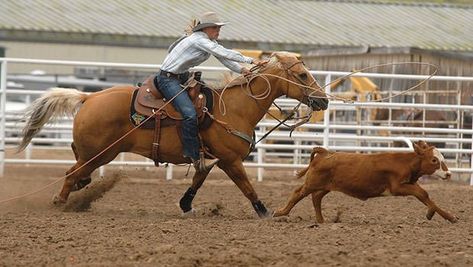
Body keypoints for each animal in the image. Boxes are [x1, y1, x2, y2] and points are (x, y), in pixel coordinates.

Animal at [19, 51, 328, 218]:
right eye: (302, 75)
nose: (323, 100)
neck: (234, 108)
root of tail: (88, 96)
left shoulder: (210, 158)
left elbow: (197, 181)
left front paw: (186, 206)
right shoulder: (230, 160)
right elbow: (247, 186)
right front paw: (265, 213)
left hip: (100, 154)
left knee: (76, 170)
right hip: (99, 153)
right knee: (71, 172)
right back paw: (60, 202)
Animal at [272, 141, 458, 225]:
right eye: (434, 160)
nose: (448, 174)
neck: (406, 163)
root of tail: (325, 153)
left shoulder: (408, 184)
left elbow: (424, 195)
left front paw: (448, 216)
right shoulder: (397, 187)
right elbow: (422, 193)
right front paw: (433, 213)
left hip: (326, 186)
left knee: (316, 197)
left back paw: (321, 220)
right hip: (312, 182)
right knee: (298, 193)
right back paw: (280, 212)